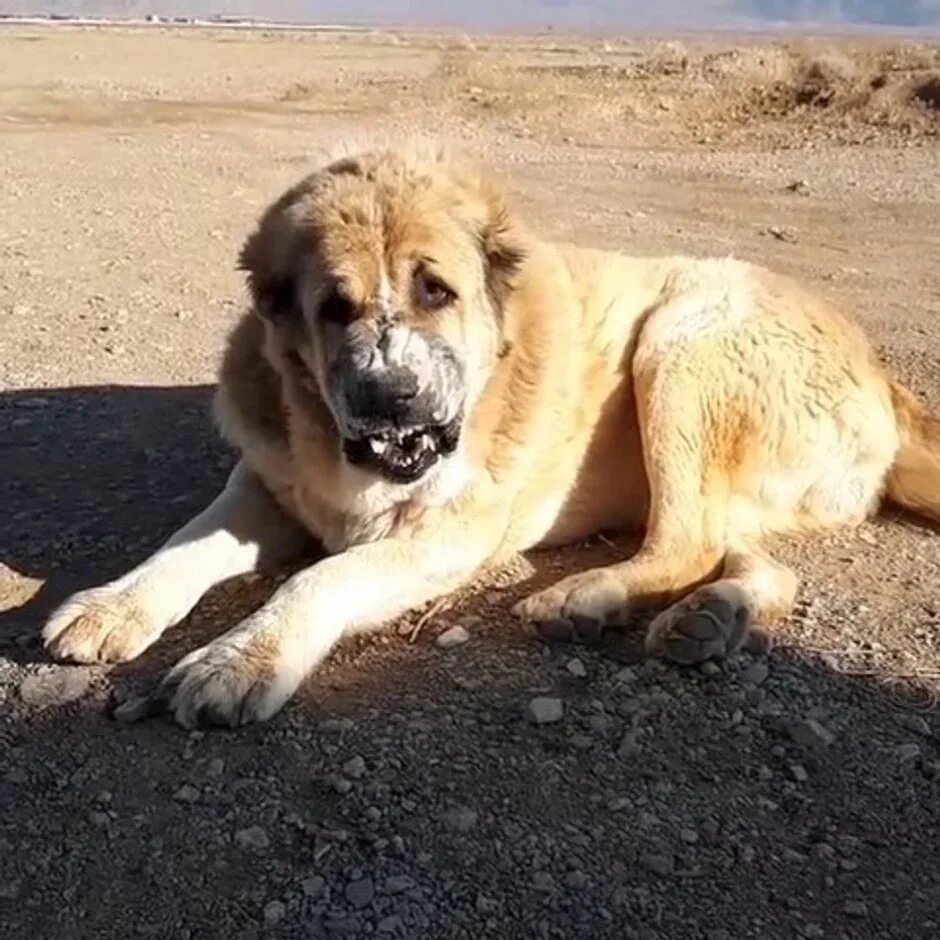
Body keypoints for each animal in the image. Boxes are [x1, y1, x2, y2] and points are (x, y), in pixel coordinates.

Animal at [42, 145, 940, 728]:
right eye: (332, 308)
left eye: (435, 291)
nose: (389, 396)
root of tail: (885, 377)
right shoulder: (265, 486)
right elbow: (184, 545)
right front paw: (112, 604)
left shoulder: (448, 536)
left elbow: (321, 580)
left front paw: (244, 659)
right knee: (753, 559)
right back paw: (709, 620)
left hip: (683, 338)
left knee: (686, 541)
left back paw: (588, 596)